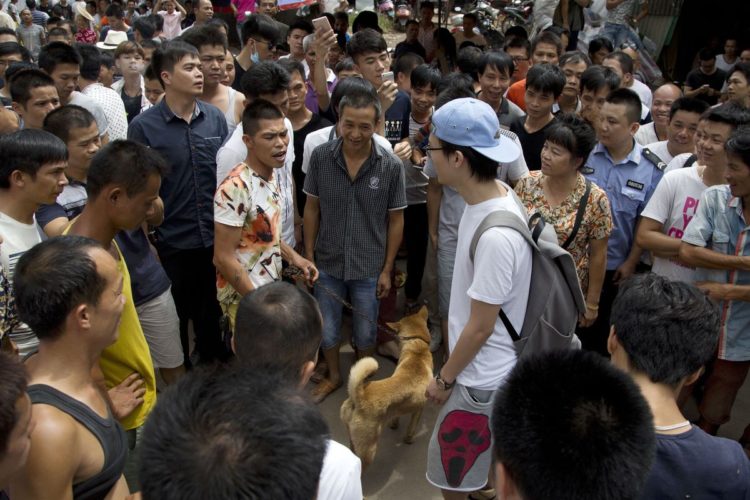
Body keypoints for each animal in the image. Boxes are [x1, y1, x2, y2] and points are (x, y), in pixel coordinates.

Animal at [340, 306, 434, 470]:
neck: (417, 348)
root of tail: (359, 395)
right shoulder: (419, 409)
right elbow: (411, 428)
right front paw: (408, 439)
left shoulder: (399, 408)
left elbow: (396, 416)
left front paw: (394, 425)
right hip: (369, 450)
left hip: (353, 439)